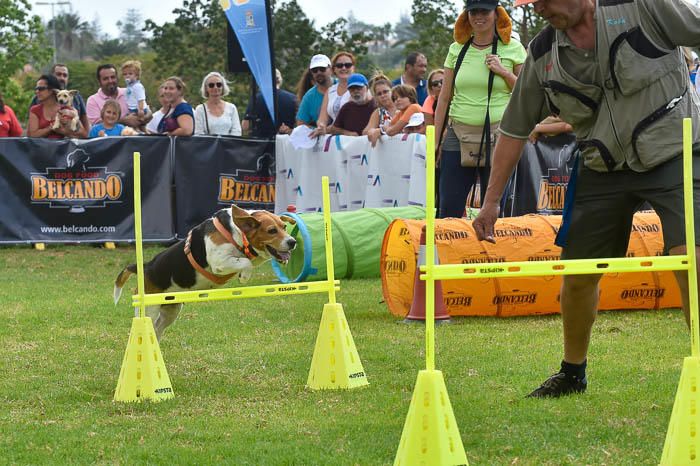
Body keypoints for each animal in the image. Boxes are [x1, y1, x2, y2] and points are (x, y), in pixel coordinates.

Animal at [113, 206, 298, 340]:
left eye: (284, 227)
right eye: (272, 230)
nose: (293, 242)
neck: (237, 233)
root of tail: (146, 266)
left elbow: (248, 261)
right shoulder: (219, 262)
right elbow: (245, 263)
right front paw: (244, 277)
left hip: (171, 311)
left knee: (157, 330)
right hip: (149, 309)